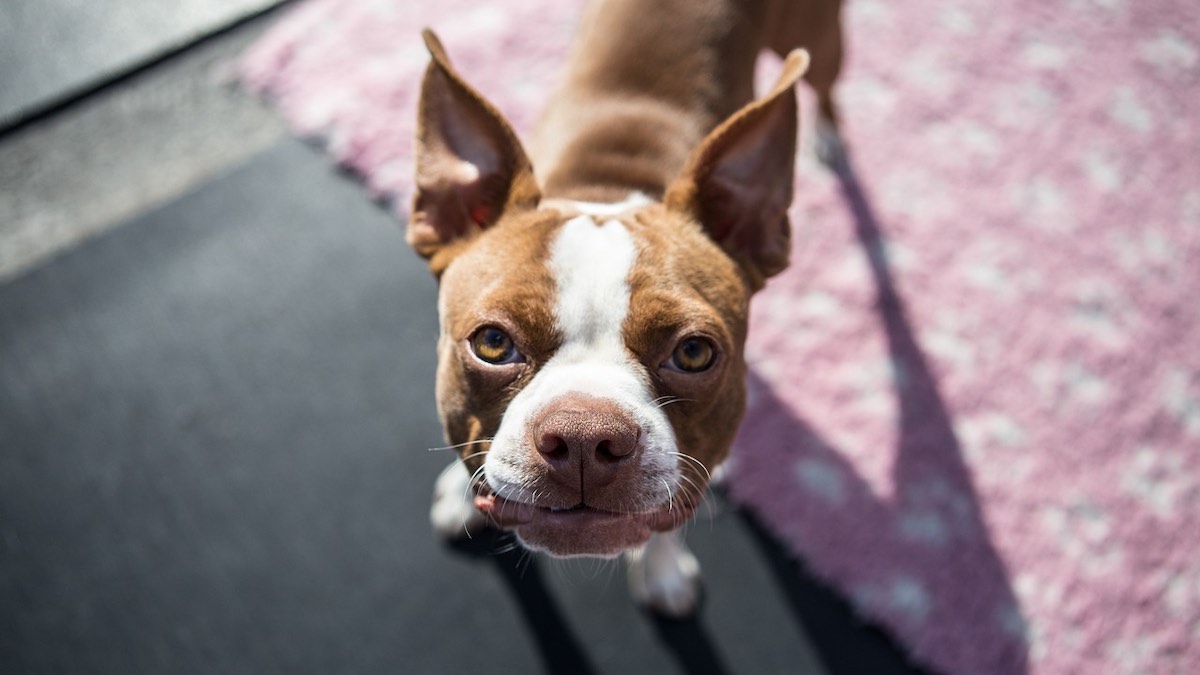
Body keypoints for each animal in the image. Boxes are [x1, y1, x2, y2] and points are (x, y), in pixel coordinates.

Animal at [412, 0, 844, 614]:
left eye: (694, 353)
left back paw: (828, 136)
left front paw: (661, 571)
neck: (608, 189)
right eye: (492, 343)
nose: (584, 437)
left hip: (820, 40)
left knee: (826, 88)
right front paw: (458, 488)